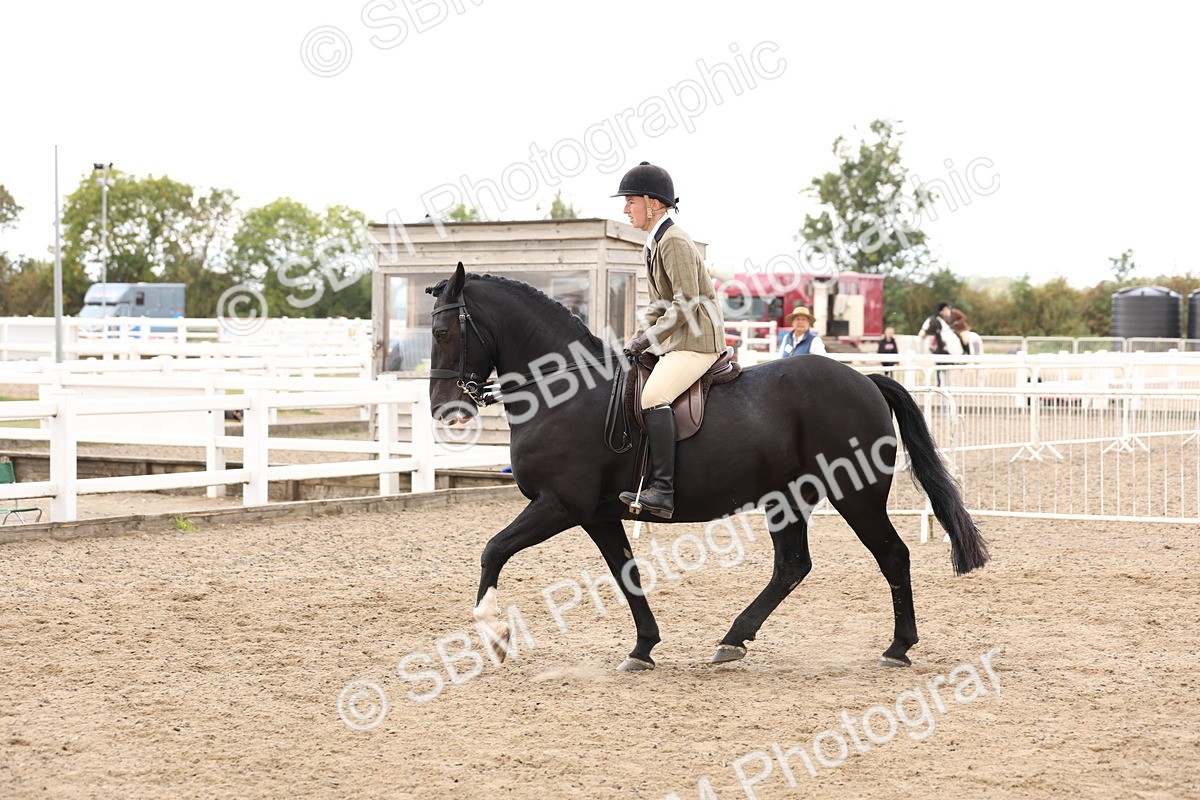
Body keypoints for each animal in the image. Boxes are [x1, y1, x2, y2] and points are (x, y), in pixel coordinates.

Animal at [426, 263, 989, 671]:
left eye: (444, 331)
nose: (443, 410)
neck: (564, 390)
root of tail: (866, 379)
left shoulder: (560, 505)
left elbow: (493, 549)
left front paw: (495, 633)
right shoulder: (598, 514)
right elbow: (626, 574)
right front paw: (643, 648)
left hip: (857, 495)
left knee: (892, 556)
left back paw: (898, 648)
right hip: (788, 499)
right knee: (792, 566)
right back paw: (733, 641)